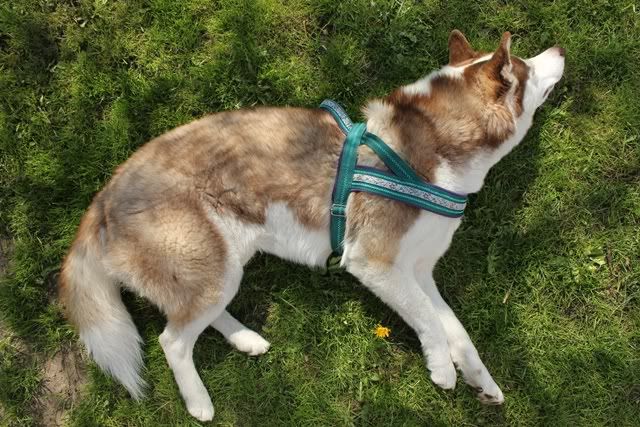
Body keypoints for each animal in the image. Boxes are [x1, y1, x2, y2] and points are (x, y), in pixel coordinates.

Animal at [59, 30, 565, 421]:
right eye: (524, 68)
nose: (559, 49)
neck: (435, 146)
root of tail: (105, 194)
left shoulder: (418, 272)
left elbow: (456, 329)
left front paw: (480, 380)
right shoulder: (375, 264)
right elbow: (430, 321)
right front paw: (441, 368)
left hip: (223, 265)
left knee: (188, 317)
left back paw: (245, 339)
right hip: (208, 265)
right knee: (172, 339)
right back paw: (198, 402)